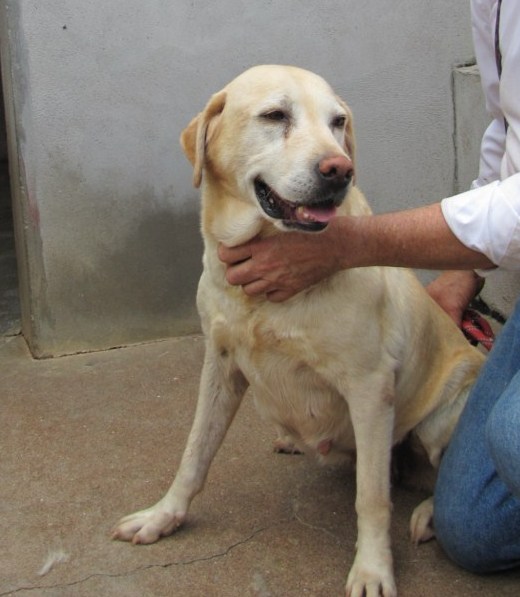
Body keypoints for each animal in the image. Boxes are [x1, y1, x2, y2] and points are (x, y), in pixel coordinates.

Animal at [112, 66, 484, 596]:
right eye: (275, 115)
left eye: (337, 122)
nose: (339, 170)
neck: (264, 296)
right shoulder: (220, 366)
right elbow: (194, 454)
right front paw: (164, 516)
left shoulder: (370, 388)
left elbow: (372, 497)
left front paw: (372, 568)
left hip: (441, 415)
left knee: (433, 472)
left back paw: (429, 515)